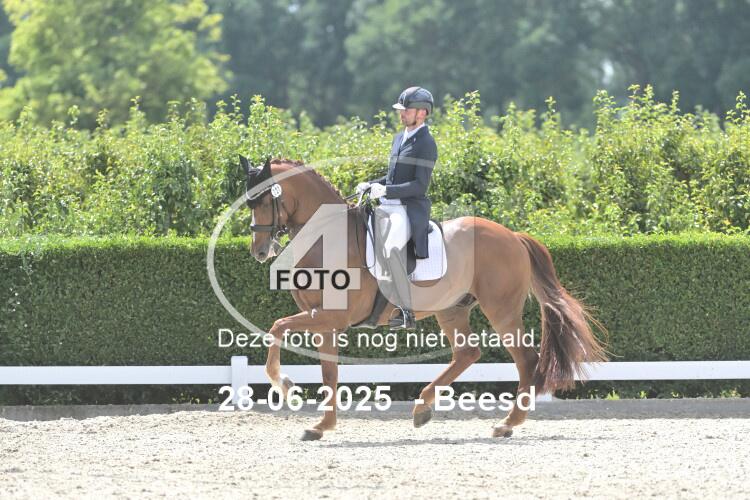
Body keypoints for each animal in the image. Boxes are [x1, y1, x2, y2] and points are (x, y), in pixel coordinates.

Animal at [241, 156, 607, 441]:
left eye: (264, 201)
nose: (259, 252)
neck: (327, 238)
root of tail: (513, 236)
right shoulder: (325, 323)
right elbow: (328, 373)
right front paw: (321, 425)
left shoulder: (331, 317)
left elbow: (276, 328)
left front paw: (286, 386)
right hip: (452, 310)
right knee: (467, 353)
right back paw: (423, 408)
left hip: (501, 310)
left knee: (527, 361)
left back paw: (506, 424)